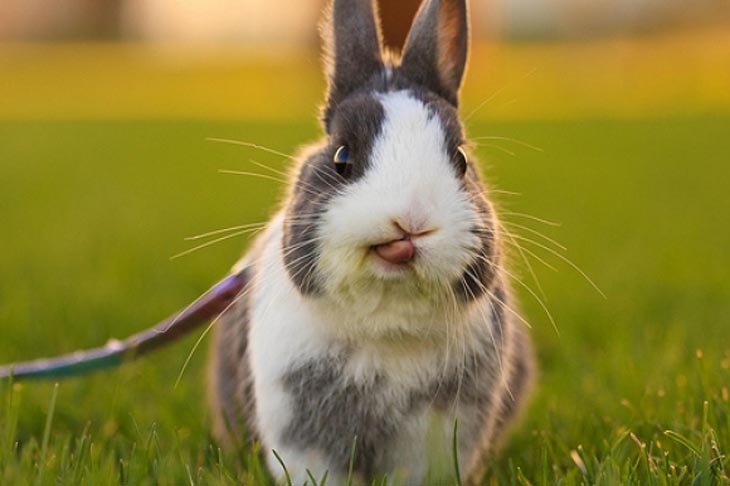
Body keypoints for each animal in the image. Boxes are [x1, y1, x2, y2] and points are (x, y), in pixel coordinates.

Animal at [208, 0, 532, 482]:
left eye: (460, 160)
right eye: (342, 158)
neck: (387, 326)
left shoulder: (439, 435)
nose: (411, 220)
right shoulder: (301, 435)